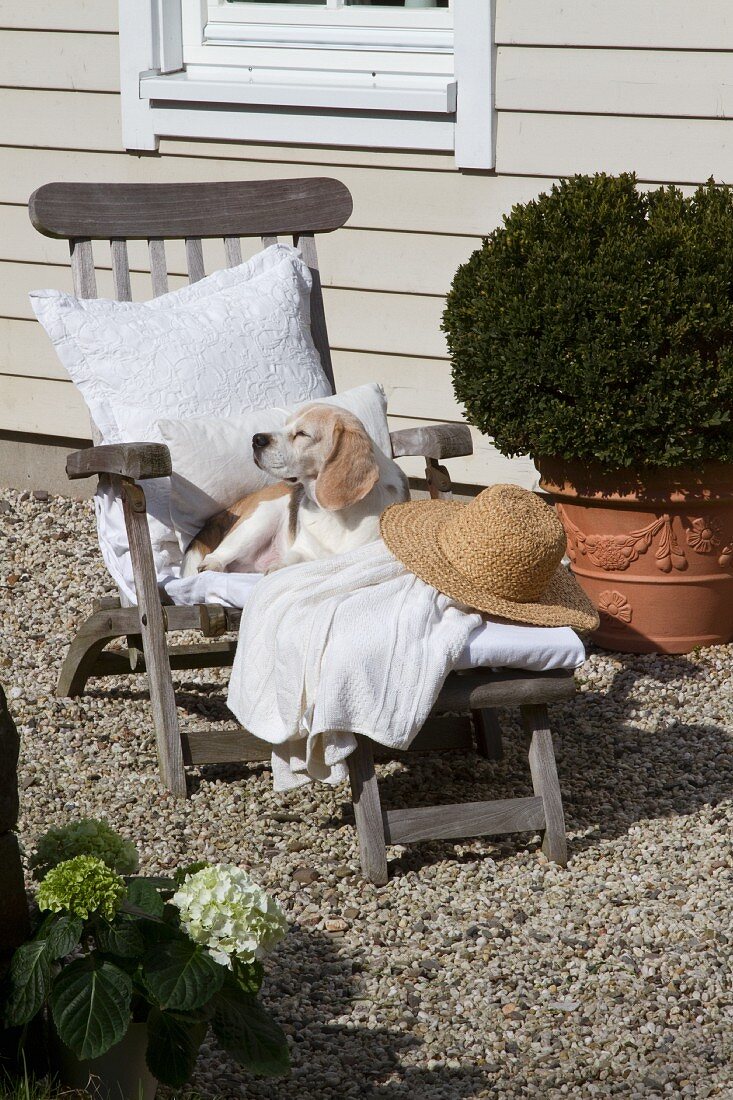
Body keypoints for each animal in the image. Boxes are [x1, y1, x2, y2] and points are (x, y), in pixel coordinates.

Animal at [179, 402, 407, 576]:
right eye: (285, 425)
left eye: (302, 434)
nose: (256, 439)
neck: (337, 516)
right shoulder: (301, 548)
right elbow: (292, 559)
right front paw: (278, 567)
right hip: (260, 518)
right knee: (217, 555)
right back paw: (212, 565)